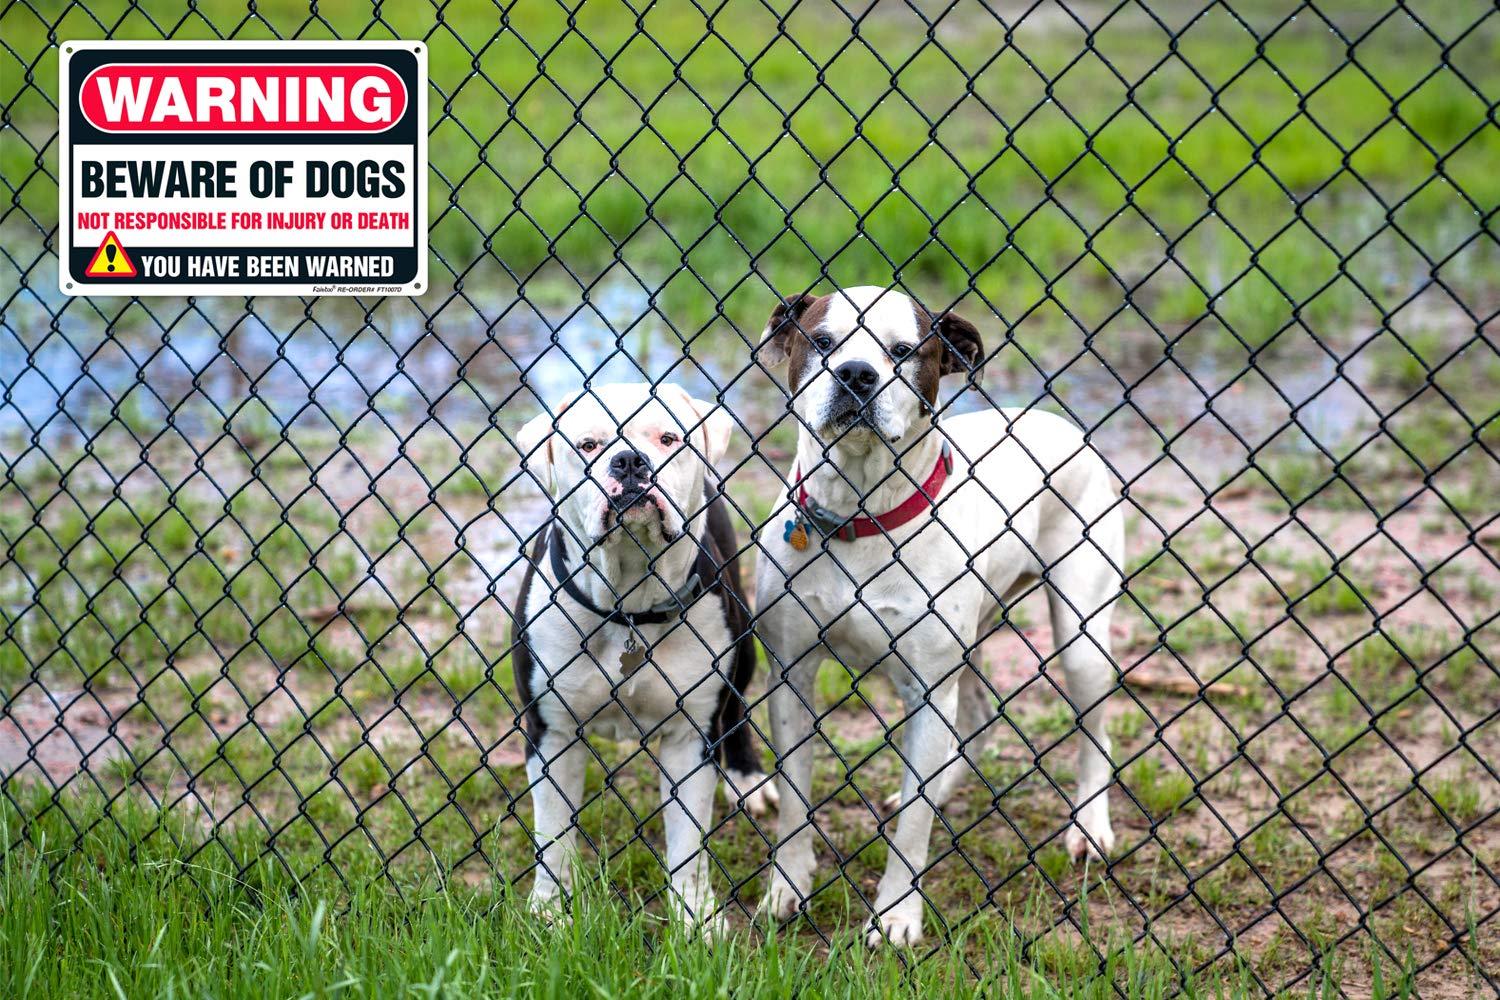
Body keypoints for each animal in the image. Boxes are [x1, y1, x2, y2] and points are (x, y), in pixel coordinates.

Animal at [513, 380, 774, 923]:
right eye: (588, 445)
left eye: (668, 438)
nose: (629, 461)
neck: (629, 604)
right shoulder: (552, 732)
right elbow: (553, 834)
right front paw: (549, 911)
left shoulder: (690, 738)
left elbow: (689, 843)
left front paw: (695, 919)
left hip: (743, 648)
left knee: (737, 708)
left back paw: (747, 777)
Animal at [756, 287, 1122, 947]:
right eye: (822, 341)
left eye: (904, 350)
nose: (856, 374)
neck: (859, 512)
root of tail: (1058, 421)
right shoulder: (790, 679)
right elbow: (796, 801)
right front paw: (786, 886)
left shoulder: (927, 688)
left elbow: (913, 833)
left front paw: (897, 916)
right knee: (974, 718)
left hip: (1083, 639)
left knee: (1094, 733)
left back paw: (1088, 826)